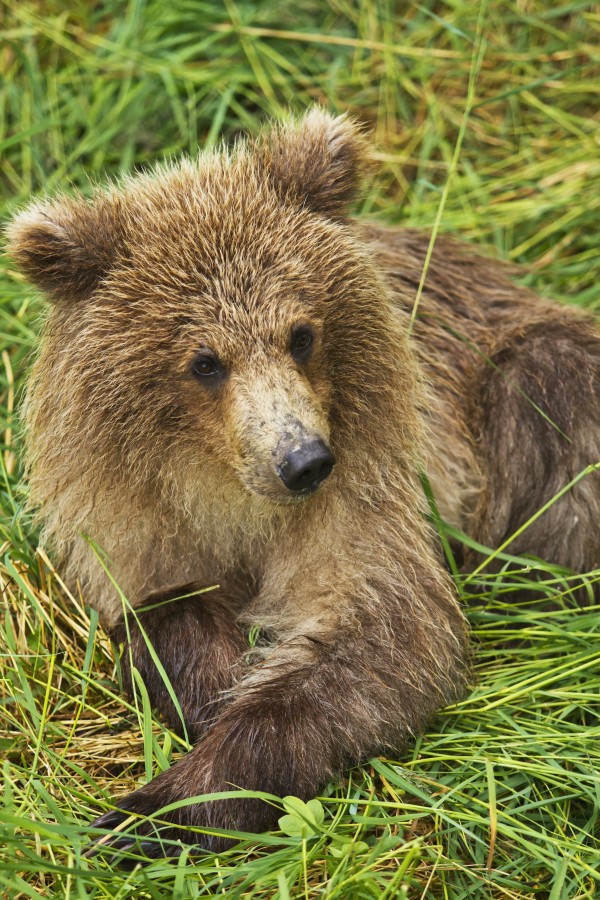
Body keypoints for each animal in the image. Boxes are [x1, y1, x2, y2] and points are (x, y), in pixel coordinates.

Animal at [7, 109, 600, 858]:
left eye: (301, 333)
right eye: (205, 361)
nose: (303, 460)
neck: (224, 487)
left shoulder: (368, 483)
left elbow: (379, 640)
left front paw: (150, 812)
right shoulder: (127, 508)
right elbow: (162, 604)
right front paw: (213, 683)